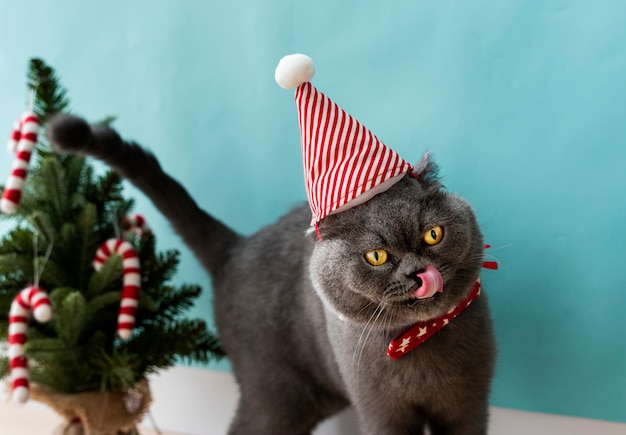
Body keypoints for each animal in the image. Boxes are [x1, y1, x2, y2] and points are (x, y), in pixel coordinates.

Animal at [47, 113, 492, 435]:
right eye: (378, 256)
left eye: (433, 234)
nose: (419, 271)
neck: (420, 343)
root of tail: (237, 248)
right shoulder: (381, 413)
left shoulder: (469, 405)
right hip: (277, 397)